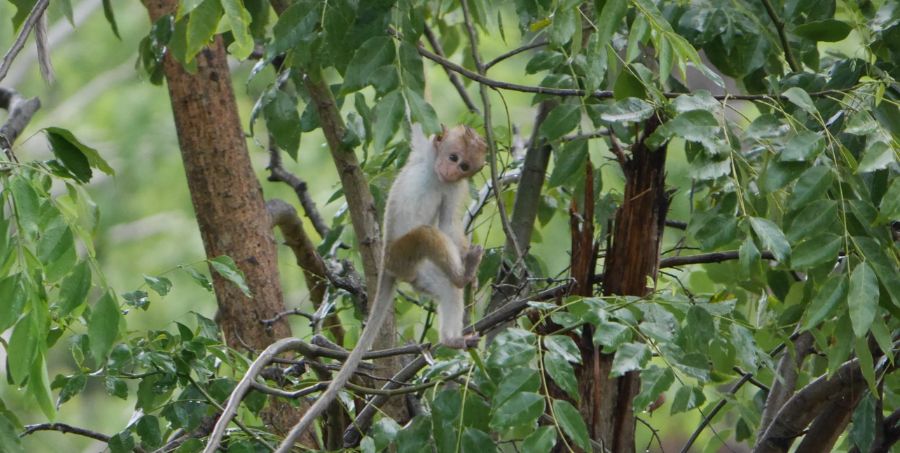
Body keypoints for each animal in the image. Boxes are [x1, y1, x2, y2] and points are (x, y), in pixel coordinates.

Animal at [275, 123, 488, 449]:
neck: (434, 172)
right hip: (402, 254)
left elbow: (449, 226)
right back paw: (463, 281)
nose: (450, 170)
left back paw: (457, 308)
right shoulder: (424, 149)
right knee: (427, 236)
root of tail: (389, 268)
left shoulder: (454, 189)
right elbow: (415, 130)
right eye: (452, 156)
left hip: (413, 267)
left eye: (464, 165)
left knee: (441, 270)